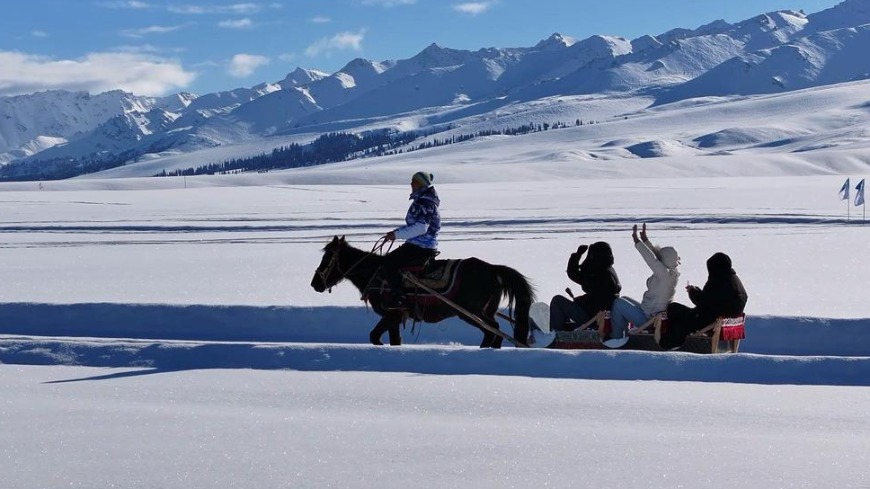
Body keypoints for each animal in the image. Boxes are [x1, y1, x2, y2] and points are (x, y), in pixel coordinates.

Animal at [310, 235, 536, 346]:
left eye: (327, 258)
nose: (315, 284)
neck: (375, 273)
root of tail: (492, 269)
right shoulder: (395, 318)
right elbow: (391, 340)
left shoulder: (392, 314)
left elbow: (375, 337)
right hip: (484, 310)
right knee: (495, 334)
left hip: (472, 313)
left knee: (493, 331)